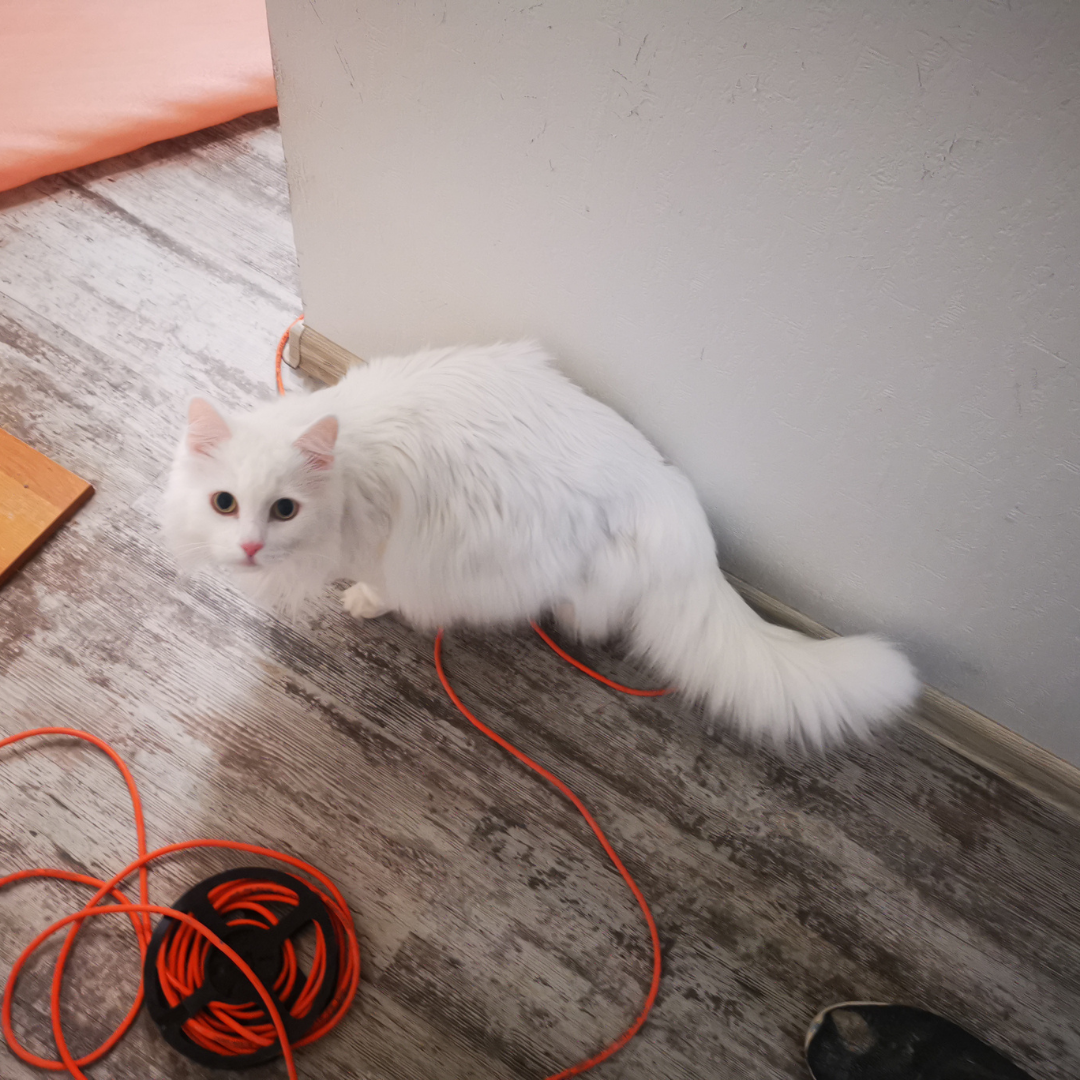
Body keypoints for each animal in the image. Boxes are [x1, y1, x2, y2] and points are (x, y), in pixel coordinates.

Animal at [162, 343, 920, 743]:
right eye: (226, 505)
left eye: (284, 510)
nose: (250, 548)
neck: (352, 467)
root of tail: (669, 495)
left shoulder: (383, 548)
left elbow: (377, 585)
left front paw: (363, 602)